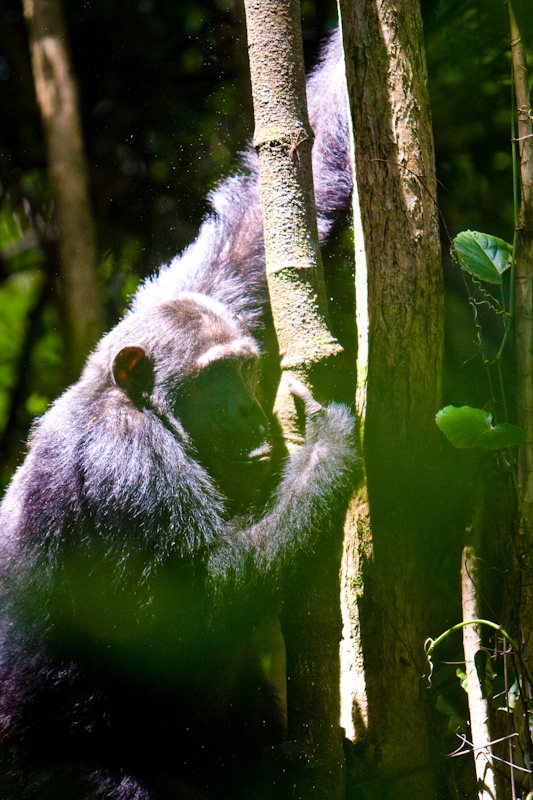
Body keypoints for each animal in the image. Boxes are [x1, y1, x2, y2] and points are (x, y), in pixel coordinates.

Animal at [1, 25, 358, 800]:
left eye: (245, 368)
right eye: (215, 377)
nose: (250, 415)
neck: (133, 401)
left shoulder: (211, 288)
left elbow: (258, 225)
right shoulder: (124, 462)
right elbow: (194, 605)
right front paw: (327, 452)